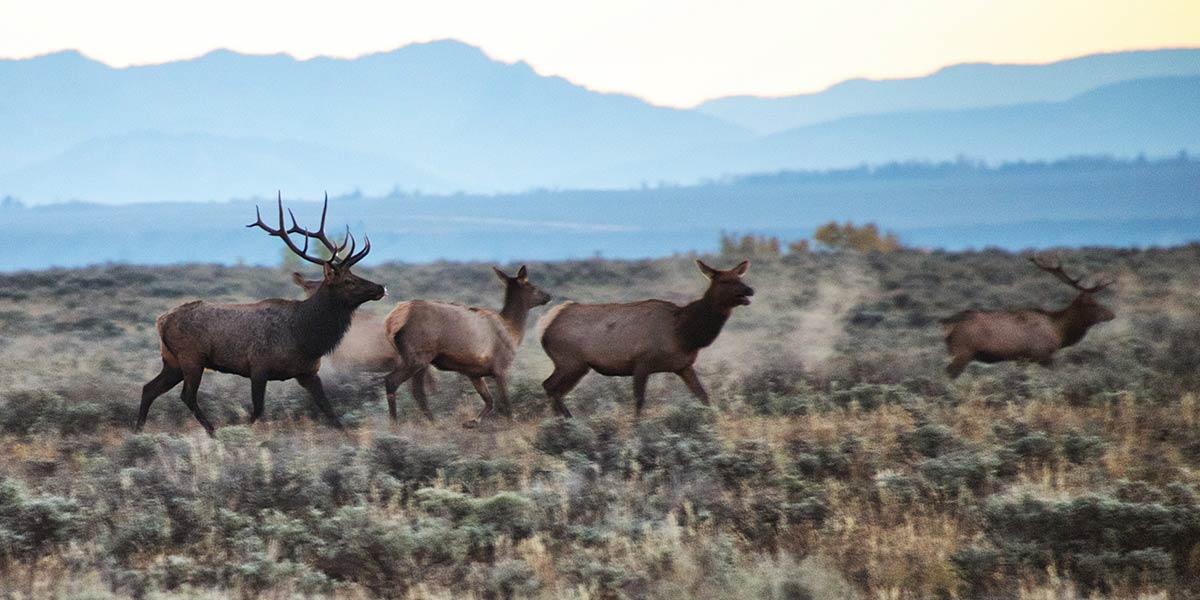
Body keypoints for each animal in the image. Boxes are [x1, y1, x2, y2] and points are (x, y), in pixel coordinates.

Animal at [136, 194, 386, 436]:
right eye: (348, 281)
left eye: (356, 274)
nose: (381, 287)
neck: (306, 337)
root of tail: (161, 321)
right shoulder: (258, 366)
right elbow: (257, 410)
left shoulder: (308, 372)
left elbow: (329, 410)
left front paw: (349, 436)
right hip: (191, 358)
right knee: (186, 395)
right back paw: (212, 431)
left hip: (172, 362)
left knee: (149, 388)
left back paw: (139, 430)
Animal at [382, 265, 551, 427]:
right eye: (533, 286)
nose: (548, 296)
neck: (513, 332)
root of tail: (392, 320)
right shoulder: (500, 366)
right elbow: (506, 404)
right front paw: (511, 425)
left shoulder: (474, 373)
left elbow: (489, 401)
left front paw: (472, 421)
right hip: (418, 355)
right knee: (392, 381)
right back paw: (395, 424)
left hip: (418, 359)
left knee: (417, 391)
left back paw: (434, 422)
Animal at [538, 259, 753, 418]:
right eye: (724, 281)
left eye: (740, 278)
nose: (749, 290)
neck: (685, 334)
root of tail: (545, 325)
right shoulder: (642, 362)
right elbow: (639, 400)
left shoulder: (683, 366)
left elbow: (703, 396)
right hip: (570, 361)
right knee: (550, 386)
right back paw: (567, 419)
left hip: (577, 366)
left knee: (553, 388)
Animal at [941, 256, 1115, 379]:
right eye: (1092, 304)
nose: (1111, 314)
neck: (1058, 331)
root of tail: (946, 324)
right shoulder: (1042, 354)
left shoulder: (1022, 359)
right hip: (962, 351)